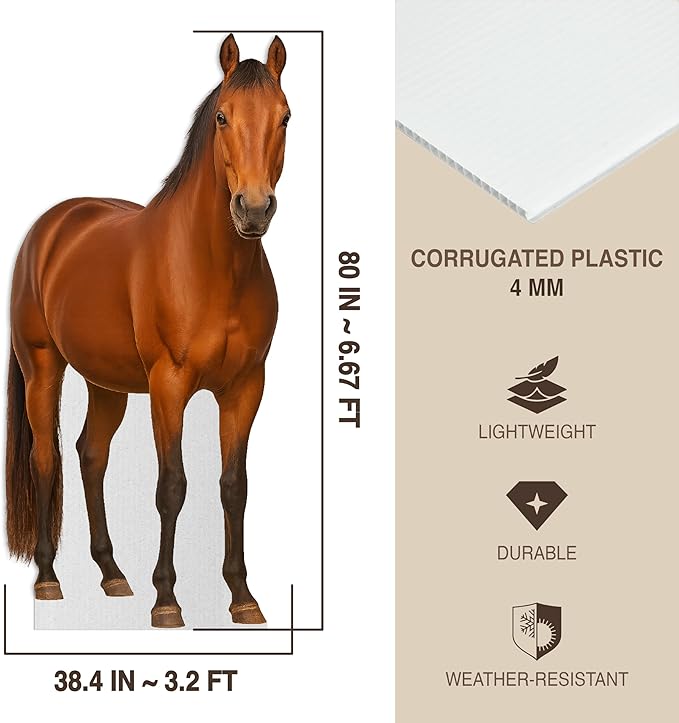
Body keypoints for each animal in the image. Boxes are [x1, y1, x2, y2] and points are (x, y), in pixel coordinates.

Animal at [5, 33, 290, 628]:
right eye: (223, 116)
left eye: (285, 116)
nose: (253, 210)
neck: (213, 266)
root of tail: (50, 227)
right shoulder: (169, 385)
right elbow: (172, 486)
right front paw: (167, 601)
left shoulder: (246, 387)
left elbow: (234, 486)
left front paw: (243, 597)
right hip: (42, 366)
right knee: (47, 458)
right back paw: (47, 579)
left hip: (106, 384)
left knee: (91, 454)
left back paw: (112, 574)